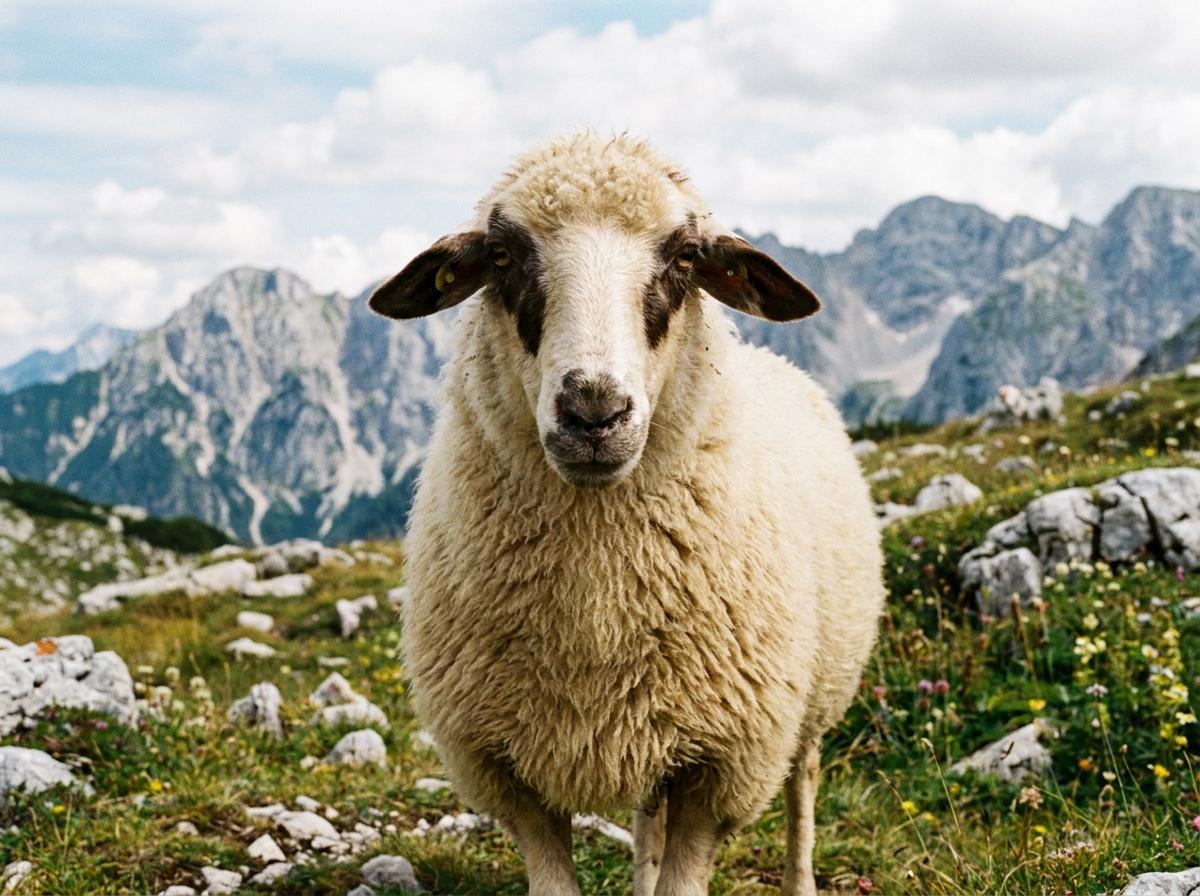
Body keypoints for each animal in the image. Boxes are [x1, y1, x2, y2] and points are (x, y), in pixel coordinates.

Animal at [369, 132, 885, 896]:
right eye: (502, 256)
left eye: (686, 256)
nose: (593, 411)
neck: (597, 604)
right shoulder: (507, 770)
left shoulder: (724, 765)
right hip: (655, 721)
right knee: (648, 818)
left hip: (810, 698)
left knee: (803, 786)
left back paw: (800, 878)